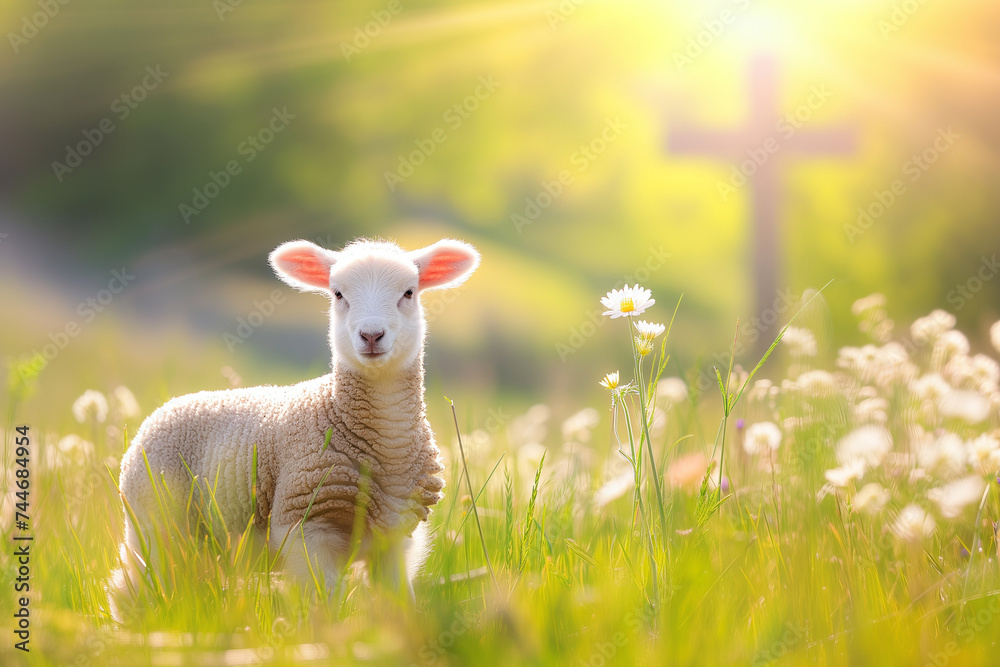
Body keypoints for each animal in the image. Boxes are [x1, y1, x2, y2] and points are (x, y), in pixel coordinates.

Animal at [109, 237, 479, 618]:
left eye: (409, 292)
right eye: (338, 294)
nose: (371, 335)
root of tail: (159, 412)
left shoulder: (394, 535)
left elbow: (398, 601)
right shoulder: (306, 523)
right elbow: (326, 600)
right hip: (155, 519)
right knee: (135, 584)